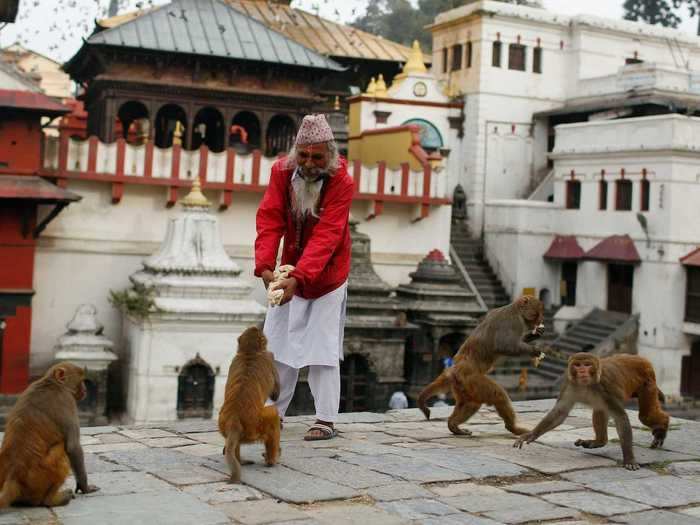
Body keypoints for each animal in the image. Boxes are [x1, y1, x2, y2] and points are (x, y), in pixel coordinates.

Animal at [0, 362, 100, 506]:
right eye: (81, 381)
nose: (85, 390)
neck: (52, 383)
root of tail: (13, 476)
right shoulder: (67, 400)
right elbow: (73, 447)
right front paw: (85, 488)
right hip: (41, 477)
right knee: (62, 450)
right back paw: (53, 499)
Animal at [220, 326, 284, 482]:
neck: (249, 353)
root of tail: (233, 419)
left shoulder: (234, 359)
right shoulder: (269, 358)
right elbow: (276, 393)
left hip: (226, 426)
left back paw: (240, 460)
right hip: (255, 426)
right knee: (273, 412)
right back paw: (271, 460)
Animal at [416, 294, 548, 434]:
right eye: (538, 313)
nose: (541, 319)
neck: (517, 310)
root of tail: (455, 369)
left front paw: (535, 335)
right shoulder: (513, 322)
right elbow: (505, 346)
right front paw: (534, 351)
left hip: (463, 385)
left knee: (471, 404)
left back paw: (454, 426)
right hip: (472, 380)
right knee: (497, 395)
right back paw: (512, 427)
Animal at [516, 352, 672, 470]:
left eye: (587, 364)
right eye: (577, 365)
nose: (582, 371)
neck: (587, 384)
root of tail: (640, 358)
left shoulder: (605, 387)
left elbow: (620, 417)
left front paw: (629, 458)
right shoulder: (569, 385)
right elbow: (560, 413)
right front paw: (531, 434)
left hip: (648, 382)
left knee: (645, 416)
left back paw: (662, 428)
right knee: (600, 409)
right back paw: (599, 441)